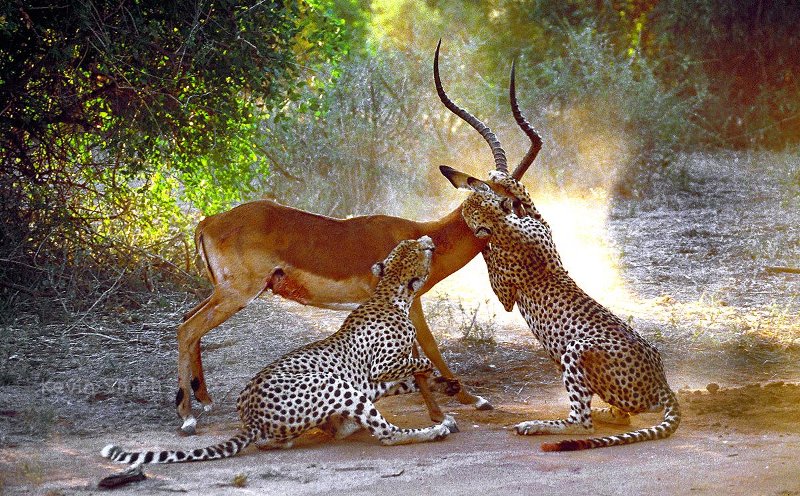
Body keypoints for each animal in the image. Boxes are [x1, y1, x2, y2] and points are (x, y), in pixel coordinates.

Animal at [101, 236, 460, 464]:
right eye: (417, 248)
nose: (427, 239)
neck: (389, 293)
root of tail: (250, 417)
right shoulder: (379, 369)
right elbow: (420, 361)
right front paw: (438, 382)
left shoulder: (378, 381)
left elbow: (413, 377)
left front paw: (449, 385)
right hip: (335, 385)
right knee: (387, 434)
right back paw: (435, 431)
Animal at [440, 167, 680, 450]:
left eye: (470, 206)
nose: (465, 202)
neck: (507, 228)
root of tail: (661, 381)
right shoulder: (543, 227)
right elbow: (528, 198)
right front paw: (501, 178)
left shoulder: (505, 295)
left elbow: (490, 261)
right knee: (622, 416)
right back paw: (606, 413)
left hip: (576, 349)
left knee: (582, 421)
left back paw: (536, 425)